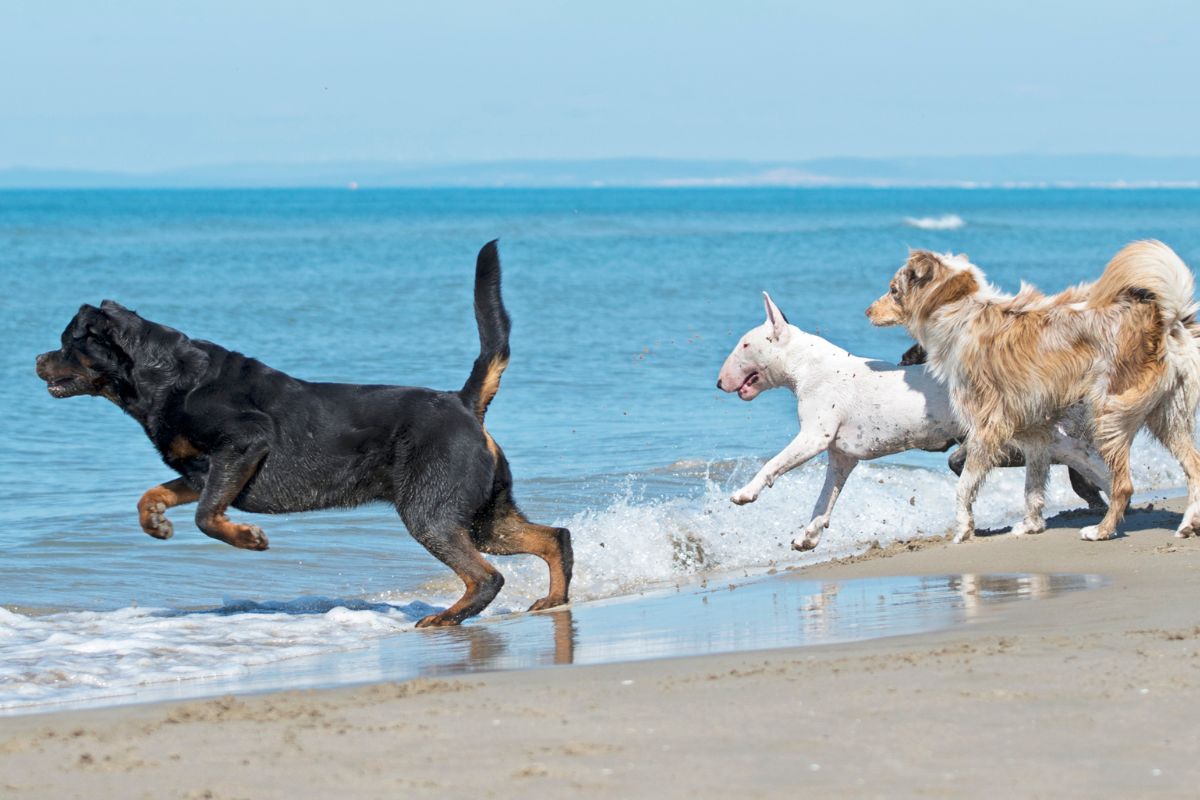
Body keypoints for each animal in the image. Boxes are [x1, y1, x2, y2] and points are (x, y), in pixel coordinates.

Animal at [37, 241, 571, 628]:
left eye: (67, 342)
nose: (38, 358)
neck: (164, 378)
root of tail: (462, 402)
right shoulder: (200, 471)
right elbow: (153, 494)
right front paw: (155, 523)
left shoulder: (242, 444)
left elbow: (208, 517)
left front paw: (247, 538)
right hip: (481, 514)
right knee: (552, 537)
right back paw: (552, 599)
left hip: (432, 512)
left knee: (486, 576)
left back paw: (446, 618)